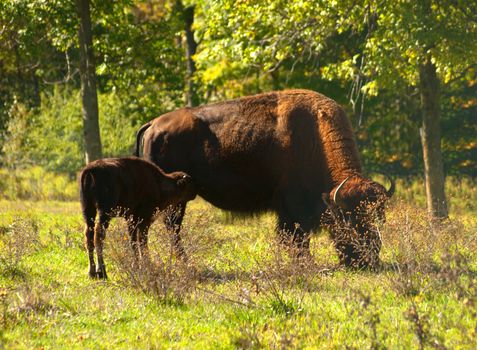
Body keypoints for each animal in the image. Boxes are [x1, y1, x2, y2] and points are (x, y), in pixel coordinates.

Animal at [135, 89, 394, 266]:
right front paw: (305, 263)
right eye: (349, 220)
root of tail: (153, 124)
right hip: (173, 199)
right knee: (171, 227)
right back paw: (183, 261)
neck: (315, 137)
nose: (368, 260)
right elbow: (295, 237)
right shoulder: (292, 208)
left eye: (378, 218)